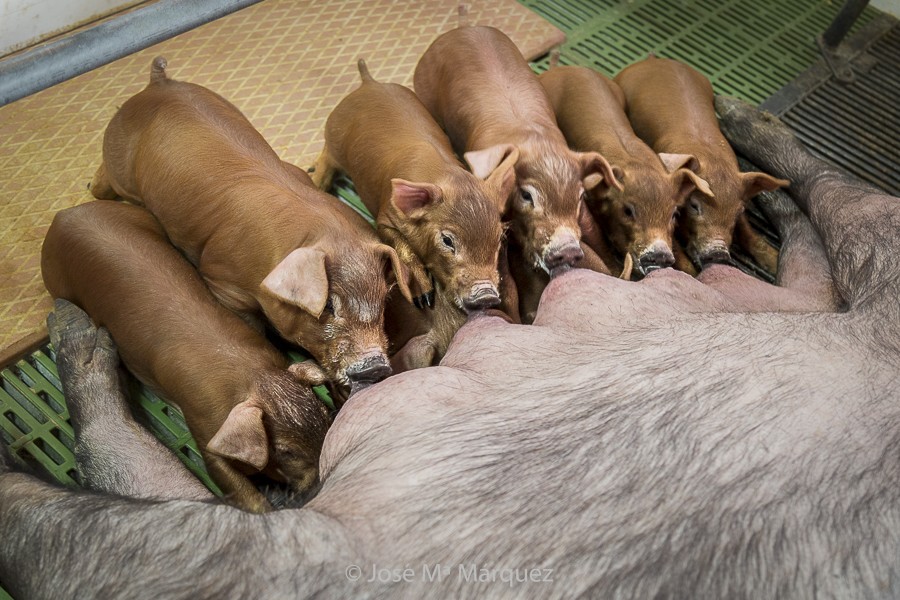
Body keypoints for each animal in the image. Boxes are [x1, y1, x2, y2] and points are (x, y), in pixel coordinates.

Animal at [41, 200, 332, 513]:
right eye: (286, 452)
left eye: (325, 414)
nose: (319, 484)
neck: (255, 377)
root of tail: (63, 216)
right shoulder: (203, 424)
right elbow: (229, 479)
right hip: (57, 284)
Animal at [89, 57, 412, 395]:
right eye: (327, 307)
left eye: (383, 299)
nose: (376, 368)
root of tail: (157, 83)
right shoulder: (221, 282)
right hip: (121, 170)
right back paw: (92, 188)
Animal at [310, 59, 517, 355]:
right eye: (447, 240)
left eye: (499, 237)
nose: (486, 294)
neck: (441, 174)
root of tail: (368, 82)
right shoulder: (384, 218)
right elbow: (402, 248)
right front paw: (424, 299)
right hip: (333, 138)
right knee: (326, 156)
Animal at [413, 25, 623, 322]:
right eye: (526, 195)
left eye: (580, 196)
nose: (568, 248)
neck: (536, 142)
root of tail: (465, 27)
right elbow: (507, 282)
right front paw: (518, 319)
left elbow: (595, 235)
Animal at [615, 55, 788, 274]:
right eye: (694, 205)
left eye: (738, 211)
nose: (719, 253)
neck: (710, 155)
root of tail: (655, 60)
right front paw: (692, 274)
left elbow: (747, 230)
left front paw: (774, 264)